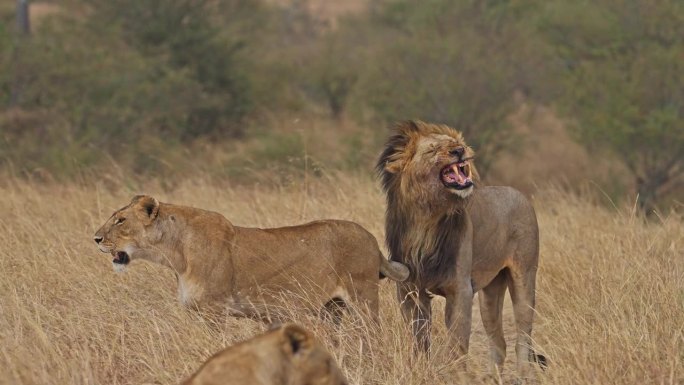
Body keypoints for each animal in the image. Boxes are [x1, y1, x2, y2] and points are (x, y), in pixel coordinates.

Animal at [93, 195, 408, 320]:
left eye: (120, 220)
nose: (95, 239)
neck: (175, 253)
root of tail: (372, 240)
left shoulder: (214, 310)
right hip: (332, 309)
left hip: (362, 298)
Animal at [376, 120, 548, 378]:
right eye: (433, 149)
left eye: (455, 143)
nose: (459, 150)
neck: (426, 218)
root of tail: (520, 194)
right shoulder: (409, 290)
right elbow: (418, 338)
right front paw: (420, 369)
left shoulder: (460, 289)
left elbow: (457, 344)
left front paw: (456, 376)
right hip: (490, 293)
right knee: (499, 342)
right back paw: (491, 379)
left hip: (524, 277)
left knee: (523, 337)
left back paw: (523, 375)